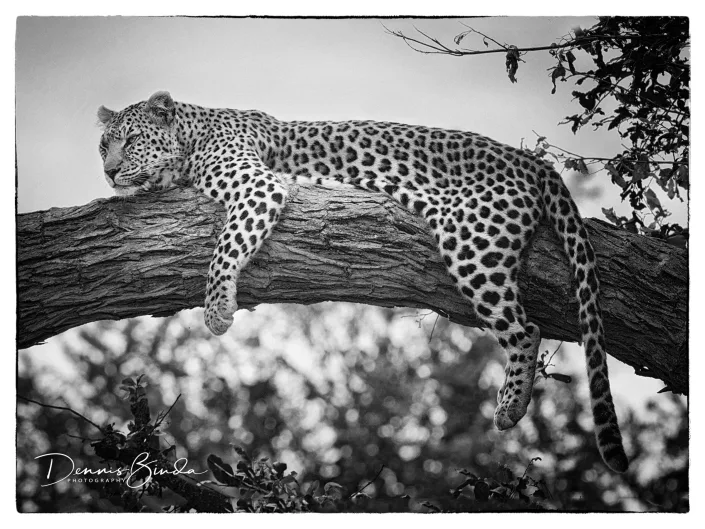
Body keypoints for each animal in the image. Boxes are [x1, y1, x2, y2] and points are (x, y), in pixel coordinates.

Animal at [97, 91, 628, 472]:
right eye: (104, 145)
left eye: (133, 140)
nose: (108, 171)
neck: (193, 135)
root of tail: (532, 162)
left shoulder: (258, 186)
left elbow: (224, 249)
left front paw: (216, 309)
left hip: (471, 242)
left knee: (525, 329)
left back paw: (510, 407)